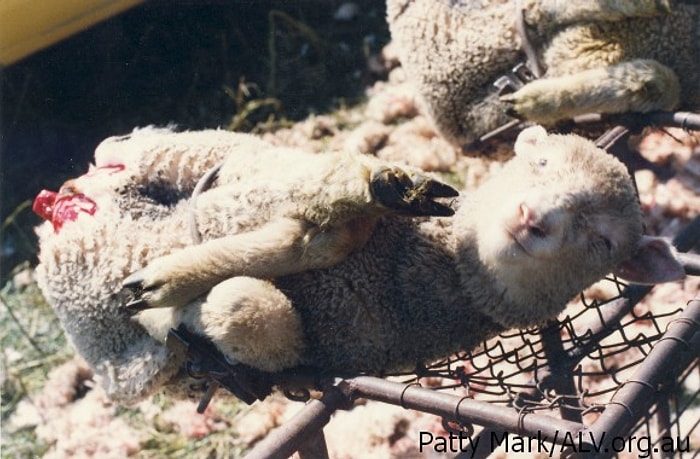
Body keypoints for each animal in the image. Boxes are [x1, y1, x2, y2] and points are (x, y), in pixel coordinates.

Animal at [34, 127, 684, 404]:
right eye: (542, 163)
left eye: (602, 242)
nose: (532, 219)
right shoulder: (274, 188)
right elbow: (305, 212)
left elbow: (243, 304)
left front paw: (172, 300)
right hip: (198, 148)